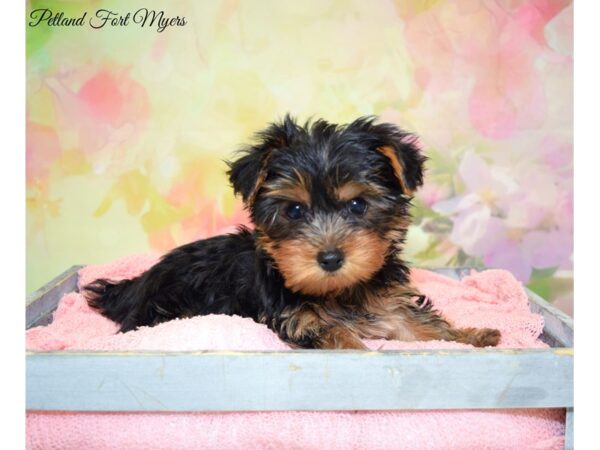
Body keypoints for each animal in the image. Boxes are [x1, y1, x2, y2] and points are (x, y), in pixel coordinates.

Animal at [83, 115, 502, 348]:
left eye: (358, 205)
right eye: (294, 210)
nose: (330, 258)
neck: (339, 291)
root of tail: (138, 282)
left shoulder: (389, 304)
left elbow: (421, 324)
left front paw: (474, 337)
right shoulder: (303, 322)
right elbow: (347, 344)